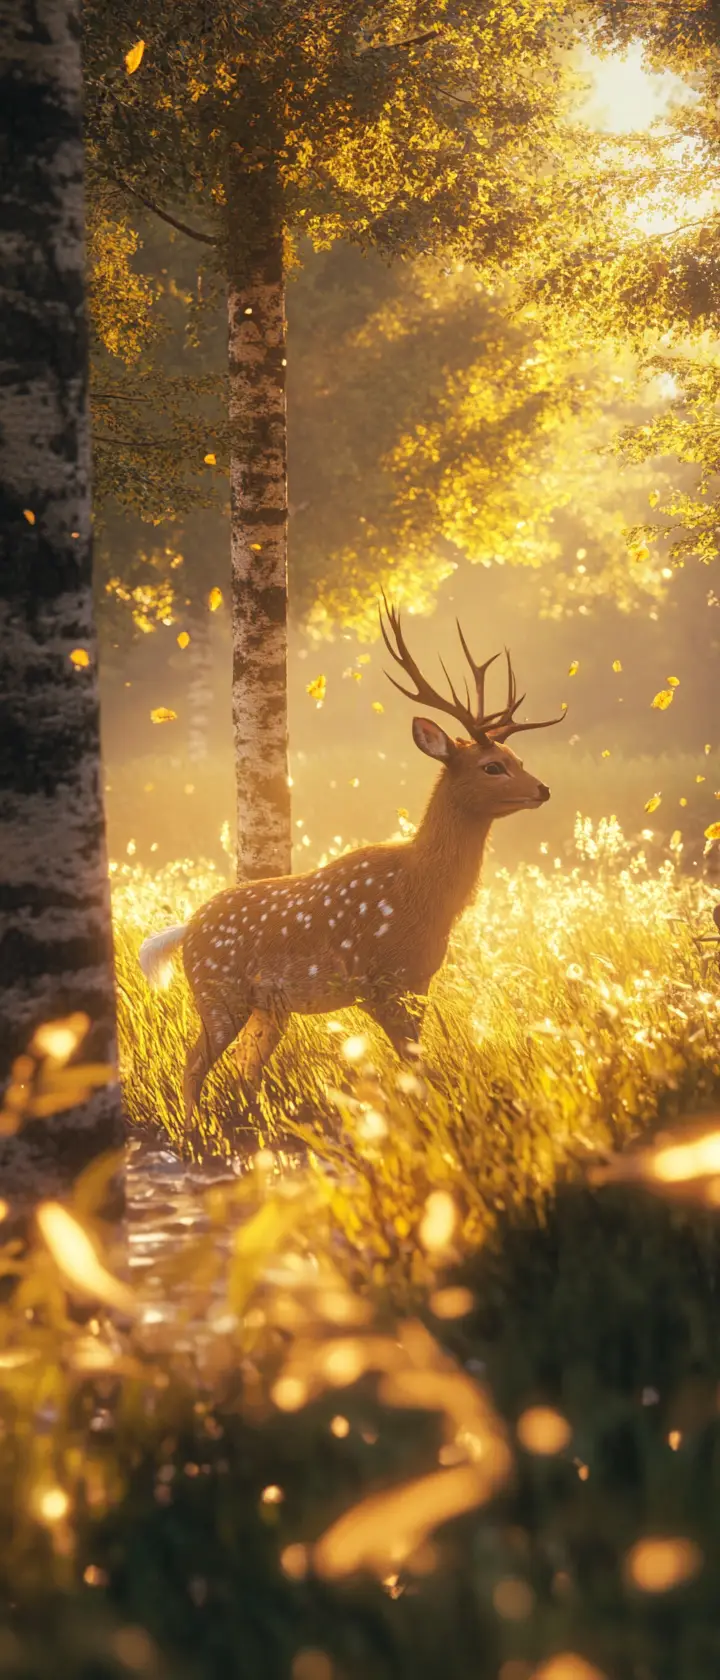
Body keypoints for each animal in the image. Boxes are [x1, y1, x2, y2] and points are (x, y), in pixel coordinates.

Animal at [138, 599, 565, 1125]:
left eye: (516, 757)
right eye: (492, 766)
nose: (543, 789)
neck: (423, 891)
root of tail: (185, 930)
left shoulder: (419, 980)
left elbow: (418, 1063)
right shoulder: (378, 981)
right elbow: (415, 1064)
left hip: (268, 1007)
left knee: (244, 1064)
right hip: (217, 989)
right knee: (195, 1062)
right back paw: (196, 1131)